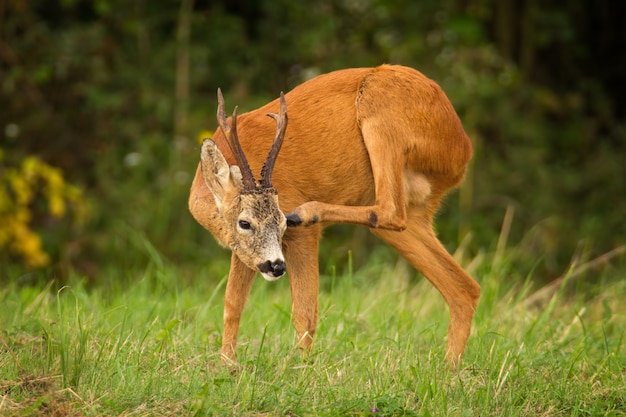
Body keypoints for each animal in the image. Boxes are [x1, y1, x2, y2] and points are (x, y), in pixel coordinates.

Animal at [186, 63, 478, 366]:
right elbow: (232, 305)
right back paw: (449, 368)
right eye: (244, 223)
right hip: (415, 212)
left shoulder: (300, 235)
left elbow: (304, 312)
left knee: (391, 209)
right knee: (465, 288)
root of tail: (463, 147)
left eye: (281, 223)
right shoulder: (243, 251)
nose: (276, 266)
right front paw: (227, 366)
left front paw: (299, 368)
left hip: (380, 110)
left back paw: (308, 211)